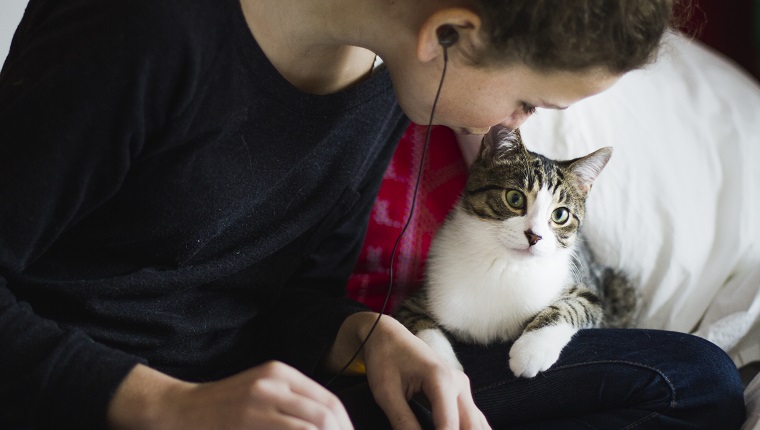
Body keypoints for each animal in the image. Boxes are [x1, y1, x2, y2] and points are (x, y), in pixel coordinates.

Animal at [394, 126, 640, 378]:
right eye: (514, 198)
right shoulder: (417, 300)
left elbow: (572, 306)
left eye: (560, 215)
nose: (534, 236)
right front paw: (443, 367)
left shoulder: (586, 291)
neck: (504, 264)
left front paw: (532, 349)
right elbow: (421, 326)